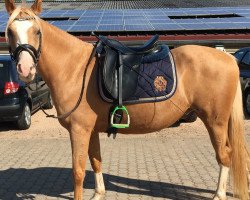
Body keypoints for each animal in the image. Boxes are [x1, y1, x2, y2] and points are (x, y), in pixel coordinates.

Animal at [3, 0, 250, 200]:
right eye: (10, 32)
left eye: (37, 31)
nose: (25, 70)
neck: (74, 68)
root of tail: (228, 57)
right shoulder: (91, 130)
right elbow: (96, 160)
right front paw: (99, 193)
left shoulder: (79, 130)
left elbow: (78, 171)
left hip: (215, 121)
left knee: (225, 155)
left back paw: (219, 194)